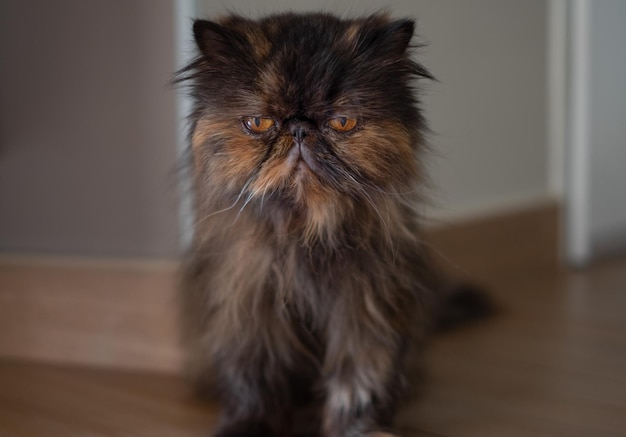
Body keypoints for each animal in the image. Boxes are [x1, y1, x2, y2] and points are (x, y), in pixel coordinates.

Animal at [173, 11, 486, 436]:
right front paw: (248, 426)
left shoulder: (365, 308)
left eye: (342, 122)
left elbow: (359, 381)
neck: (306, 232)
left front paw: (359, 429)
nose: (299, 129)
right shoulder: (248, 307)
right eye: (258, 122)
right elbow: (252, 379)